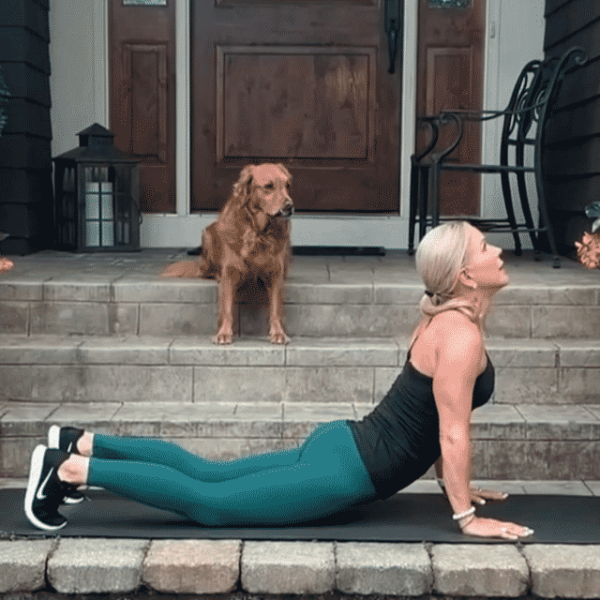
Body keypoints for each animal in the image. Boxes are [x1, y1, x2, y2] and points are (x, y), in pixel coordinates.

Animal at [163, 163, 294, 342]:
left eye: (287, 185)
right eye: (268, 186)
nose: (290, 206)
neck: (257, 232)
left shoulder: (276, 273)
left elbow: (275, 308)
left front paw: (278, 332)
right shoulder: (230, 272)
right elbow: (226, 307)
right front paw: (223, 332)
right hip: (208, 234)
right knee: (207, 271)